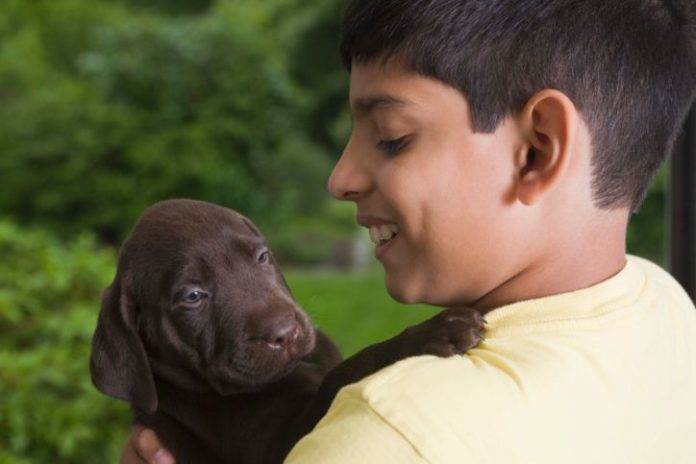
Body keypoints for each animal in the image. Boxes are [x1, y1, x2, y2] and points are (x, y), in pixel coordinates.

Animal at [89, 199, 484, 464]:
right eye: (193, 296)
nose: (285, 332)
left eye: (262, 257)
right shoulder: (276, 446)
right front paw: (430, 332)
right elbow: (340, 375)